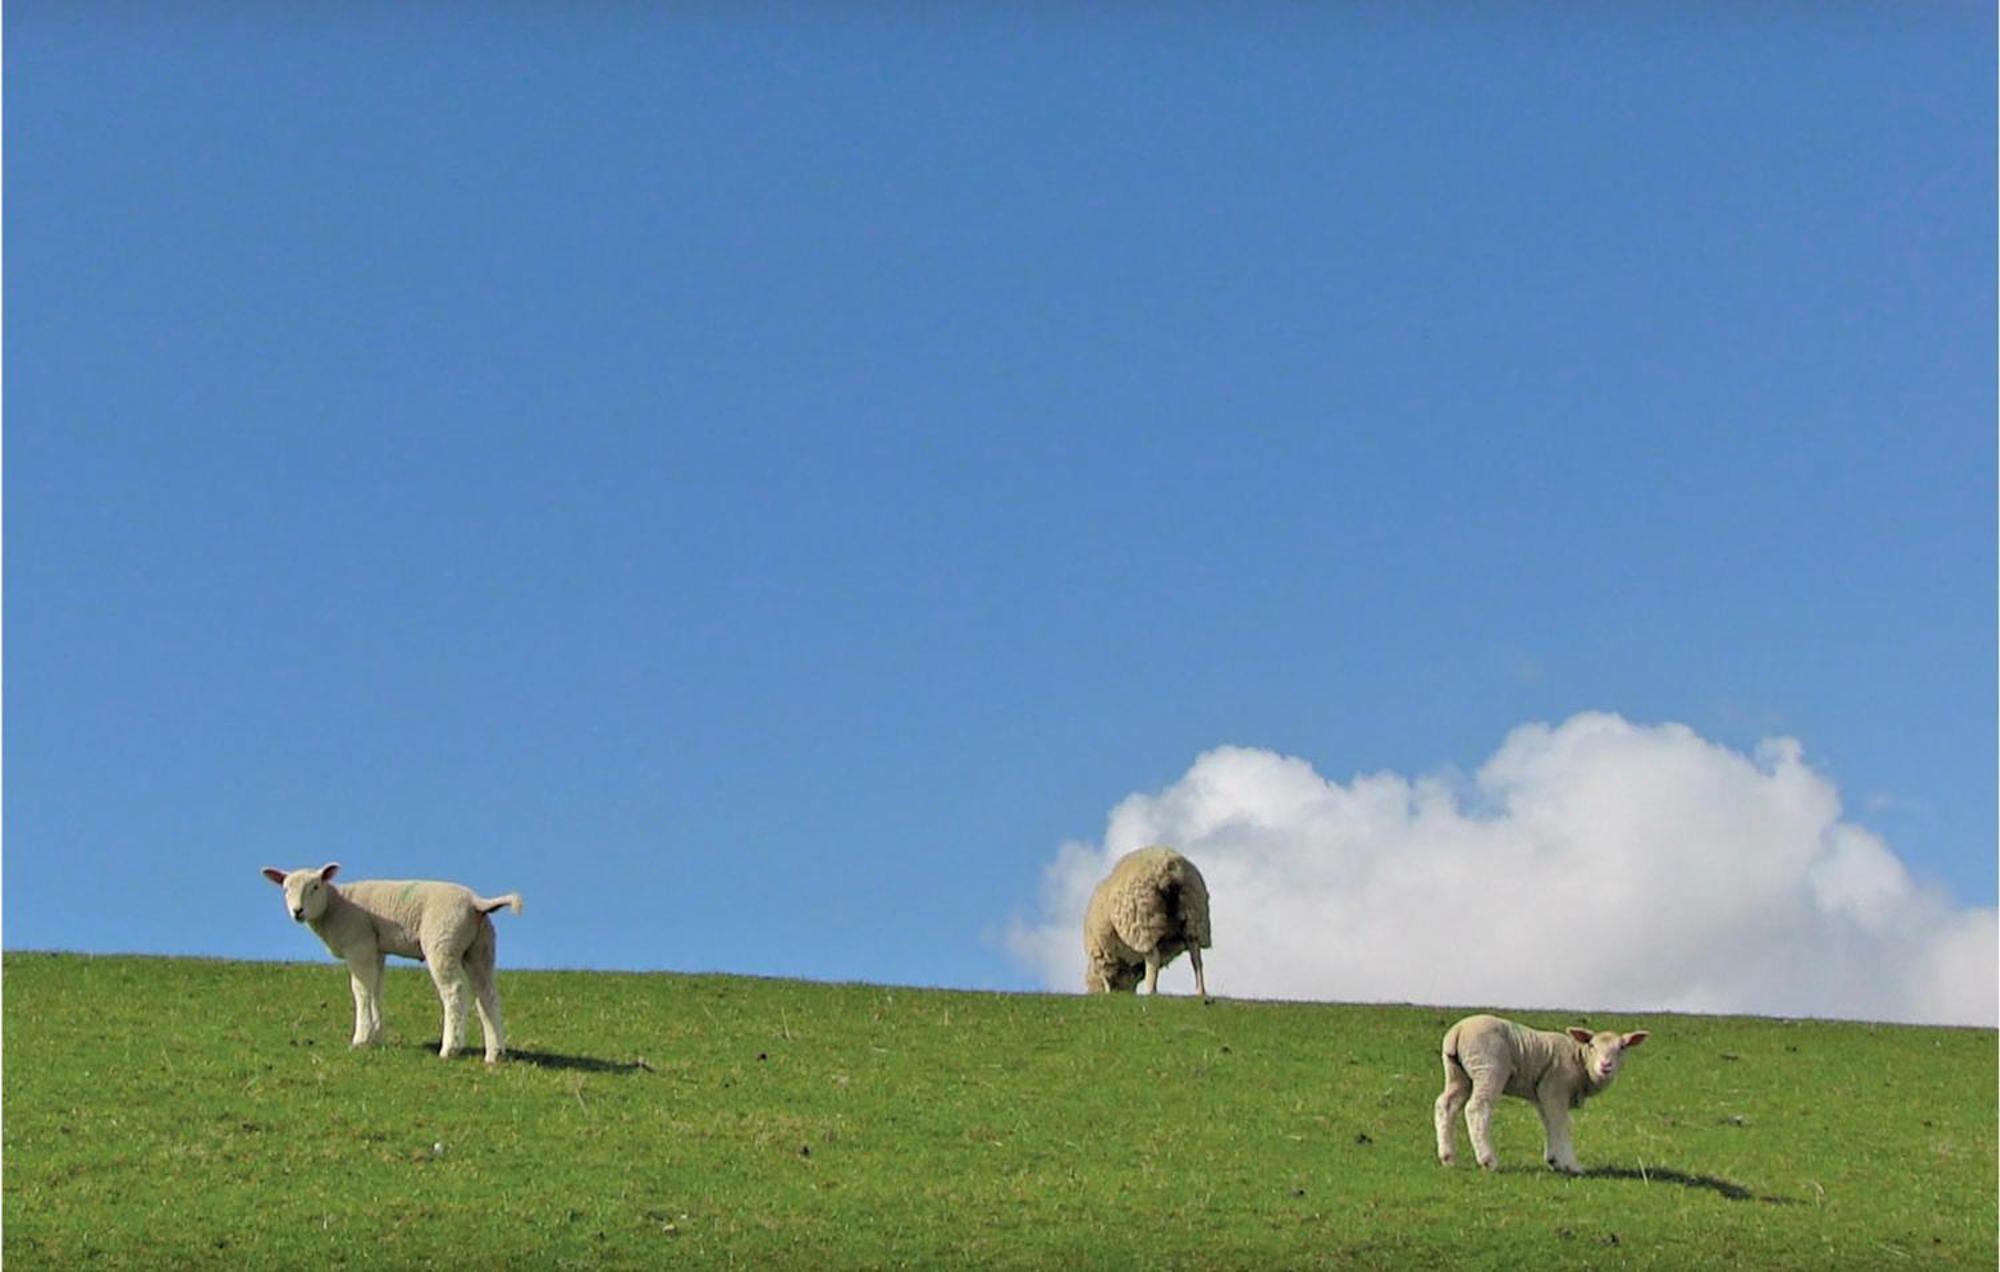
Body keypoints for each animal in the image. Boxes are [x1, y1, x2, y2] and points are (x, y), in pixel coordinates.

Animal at [260, 864, 524, 1064]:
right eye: (285, 889)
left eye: (315, 887)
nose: (297, 911)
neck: (336, 905)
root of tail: (476, 902)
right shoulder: (376, 950)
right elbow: (376, 990)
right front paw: (376, 1036)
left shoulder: (359, 945)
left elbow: (361, 991)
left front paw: (360, 1038)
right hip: (480, 948)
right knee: (488, 995)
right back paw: (494, 1054)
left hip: (443, 942)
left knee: (455, 991)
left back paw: (450, 1049)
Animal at [1088, 844, 1208, 1004]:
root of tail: (1169, 868)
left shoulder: (1103, 955)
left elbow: (1106, 976)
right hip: (1194, 913)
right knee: (1196, 958)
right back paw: (1200, 991)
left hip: (1143, 923)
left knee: (1153, 958)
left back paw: (1151, 991)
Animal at [1440, 1008, 1656, 1176]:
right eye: (1592, 1045)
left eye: (1622, 1047)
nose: (1606, 1066)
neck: (1580, 1060)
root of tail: (1458, 1031)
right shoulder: (1555, 1088)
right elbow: (1562, 1123)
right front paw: (1572, 1164)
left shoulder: (1543, 1093)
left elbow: (1550, 1122)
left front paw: (1554, 1160)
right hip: (1488, 1067)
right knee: (1477, 1108)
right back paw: (1488, 1160)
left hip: (1458, 1074)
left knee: (1446, 1104)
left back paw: (1448, 1157)